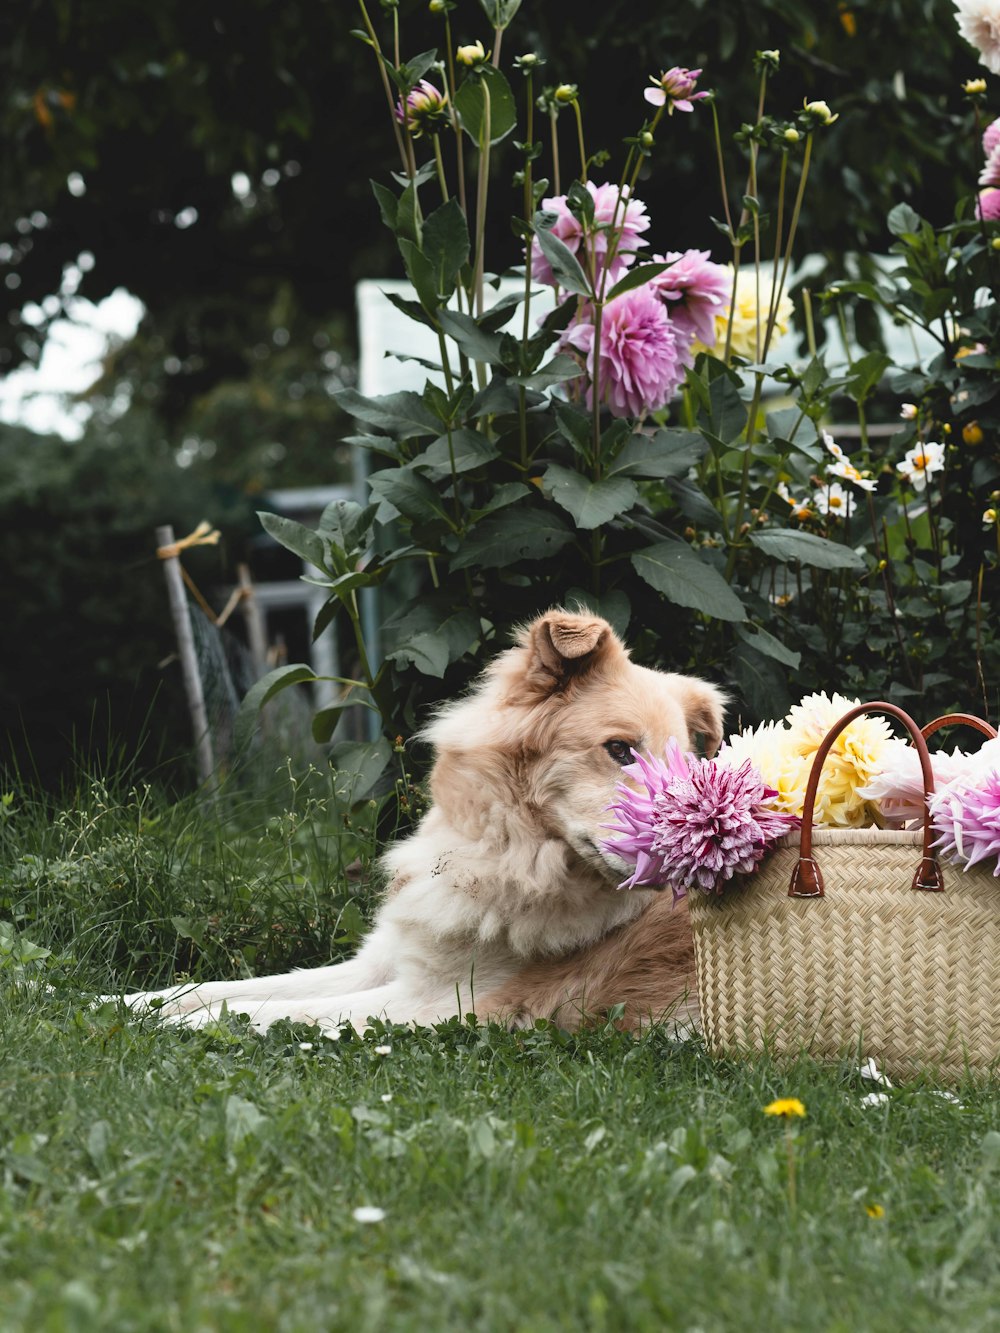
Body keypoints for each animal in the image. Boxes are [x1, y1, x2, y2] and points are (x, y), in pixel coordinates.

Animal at [127, 610, 730, 1034]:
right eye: (620, 750)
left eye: (684, 769)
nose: (677, 865)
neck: (502, 853)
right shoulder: (385, 963)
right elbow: (222, 987)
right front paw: (124, 1003)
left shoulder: (442, 1001)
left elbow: (261, 1010)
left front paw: (178, 1027)